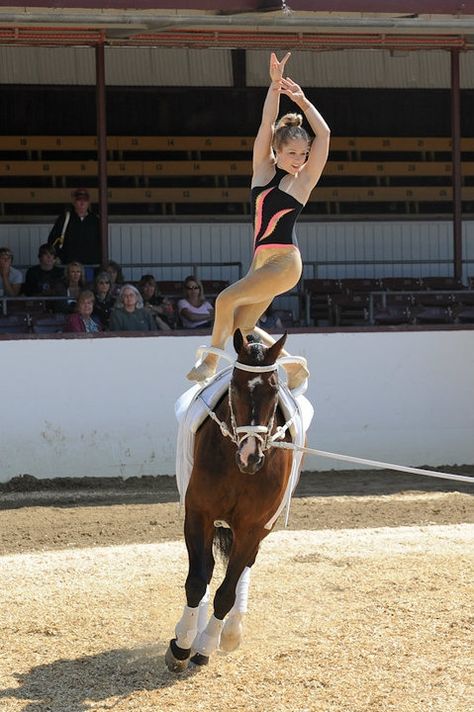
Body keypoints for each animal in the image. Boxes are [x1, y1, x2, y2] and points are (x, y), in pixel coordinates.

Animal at [166, 330, 292, 672]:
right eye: (234, 385)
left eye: (274, 389)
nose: (252, 456)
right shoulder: (199, 514)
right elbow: (197, 580)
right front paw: (182, 645)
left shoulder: (252, 527)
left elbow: (227, 591)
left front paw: (206, 645)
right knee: (206, 569)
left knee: (242, 570)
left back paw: (230, 632)